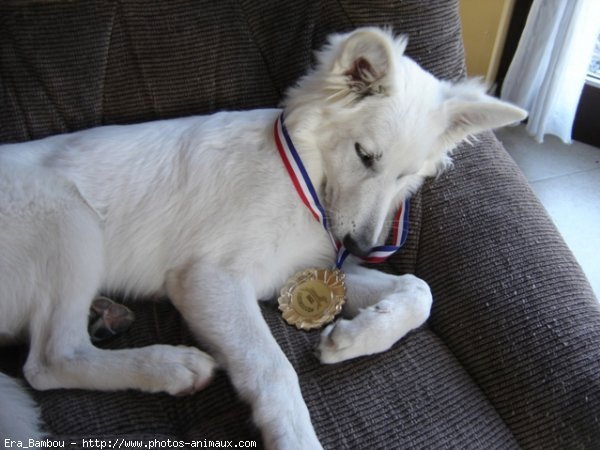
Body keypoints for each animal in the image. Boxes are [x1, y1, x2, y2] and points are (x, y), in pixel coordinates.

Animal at [0, 28, 524, 450]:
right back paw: (169, 366)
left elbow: (420, 289)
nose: (360, 249)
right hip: (70, 218)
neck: (304, 172)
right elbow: (273, 368)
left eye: (407, 176)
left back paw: (108, 316)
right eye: (364, 155)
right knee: (49, 360)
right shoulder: (207, 279)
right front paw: (295, 437)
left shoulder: (299, 271)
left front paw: (356, 335)